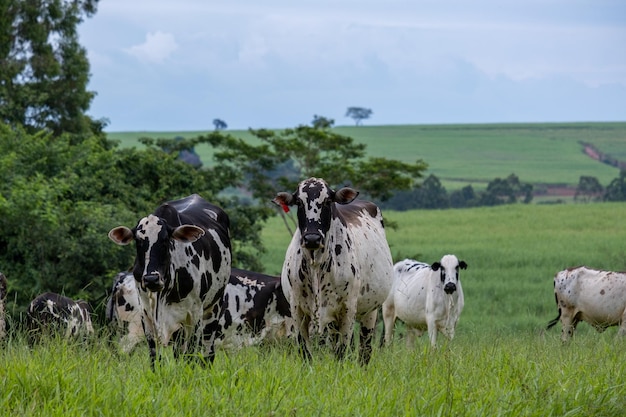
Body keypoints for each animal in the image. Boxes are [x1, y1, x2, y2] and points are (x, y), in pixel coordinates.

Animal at [108, 193, 232, 366]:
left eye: (166, 240)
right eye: (138, 241)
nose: (151, 279)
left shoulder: (193, 316)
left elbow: (190, 356)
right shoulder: (146, 315)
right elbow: (155, 356)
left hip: (214, 307)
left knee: (208, 350)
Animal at [272, 176, 390, 364]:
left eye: (327, 201)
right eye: (299, 202)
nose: (312, 238)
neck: (316, 265)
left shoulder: (347, 310)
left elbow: (341, 352)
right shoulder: (298, 311)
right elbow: (305, 352)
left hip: (370, 312)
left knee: (364, 350)